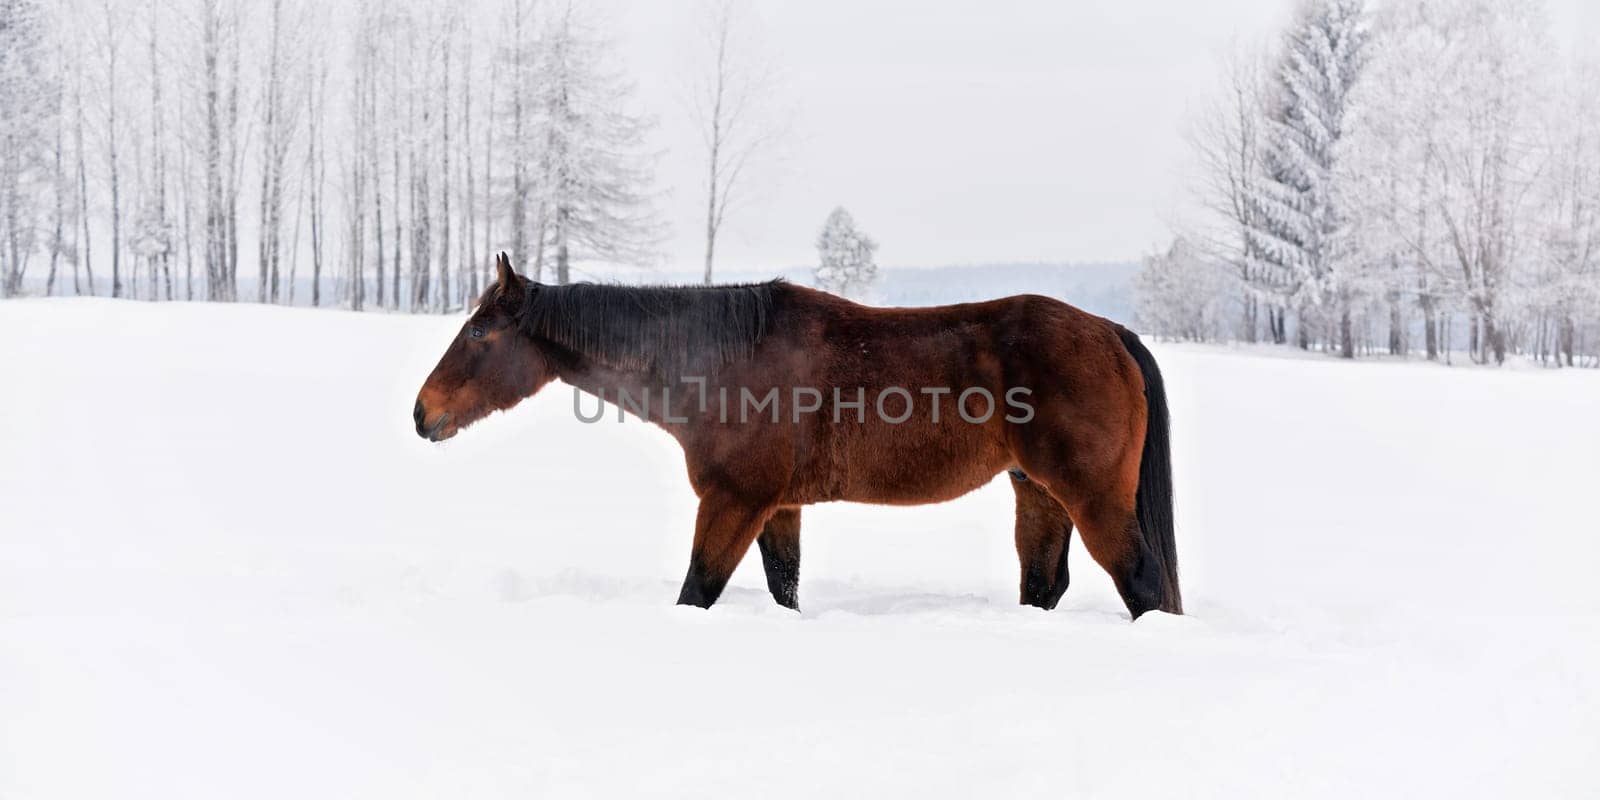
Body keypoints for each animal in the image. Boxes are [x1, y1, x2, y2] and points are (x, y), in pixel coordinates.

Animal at [419, 256, 1184, 617]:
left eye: (480, 332)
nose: (422, 413)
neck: (722, 362)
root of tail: (1109, 333)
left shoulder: (734, 500)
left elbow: (697, 590)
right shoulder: (777, 508)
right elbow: (782, 587)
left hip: (1092, 499)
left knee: (1142, 584)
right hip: (1038, 493)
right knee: (1045, 583)